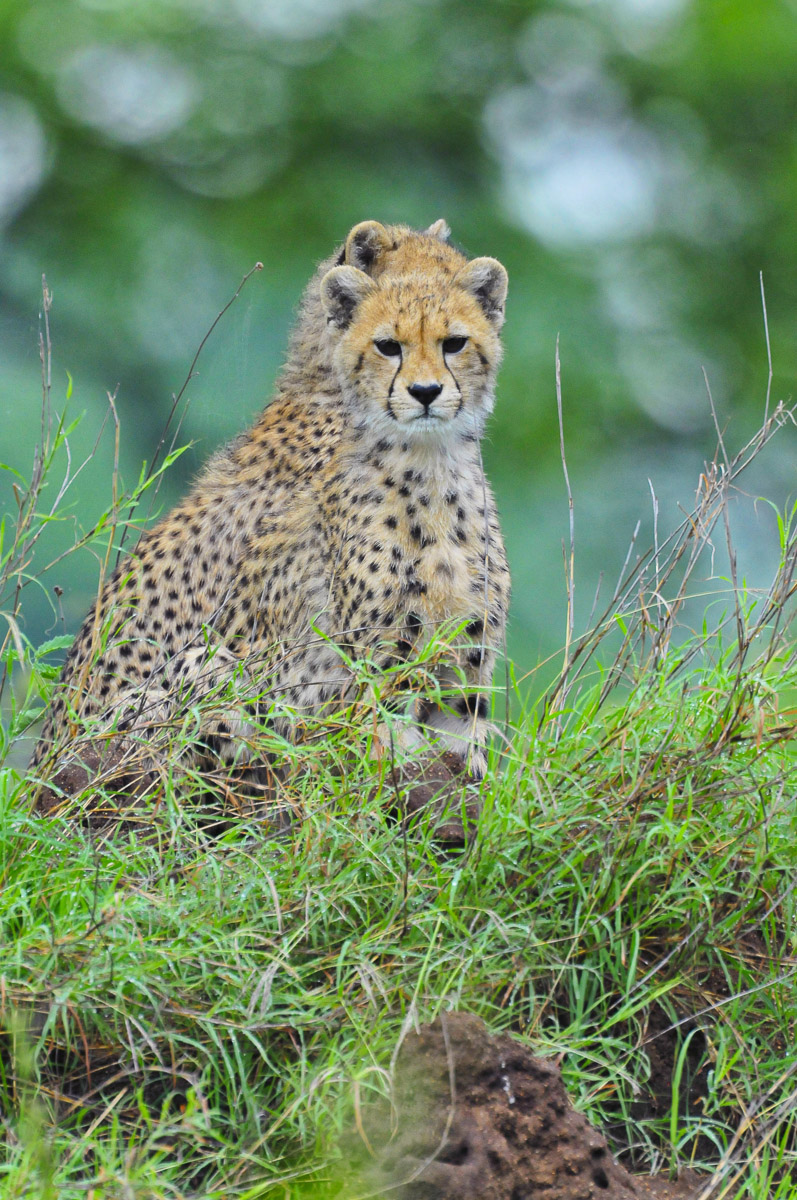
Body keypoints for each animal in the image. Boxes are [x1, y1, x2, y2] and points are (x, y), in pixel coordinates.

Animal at [30, 218, 511, 798]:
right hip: (201, 677)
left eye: (456, 340)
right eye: (390, 344)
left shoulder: (466, 663)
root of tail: (37, 777)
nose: (425, 391)